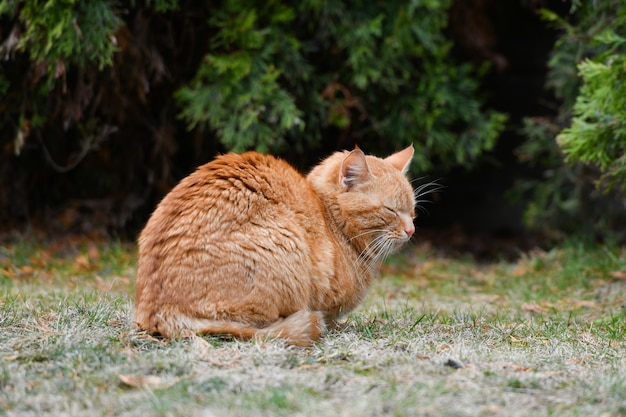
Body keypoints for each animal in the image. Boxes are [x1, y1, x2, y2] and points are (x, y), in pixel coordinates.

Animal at [134, 145, 414, 346]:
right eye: (391, 210)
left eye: (412, 211)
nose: (411, 230)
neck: (330, 219)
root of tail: (157, 310)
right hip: (285, 244)